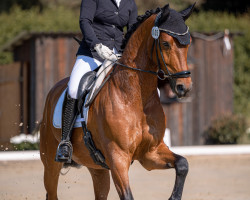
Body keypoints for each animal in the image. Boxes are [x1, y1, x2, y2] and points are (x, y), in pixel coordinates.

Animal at [40, 3, 194, 200]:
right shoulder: (118, 158)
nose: (184, 87)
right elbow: (127, 195)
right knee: (52, 190)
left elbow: (182, 164)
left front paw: (174, 196)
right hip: (51, 163)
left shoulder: (150, 153)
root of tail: (55, 90)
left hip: (97, 168)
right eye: (166, 44)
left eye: (187, 44)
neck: (134, 97)